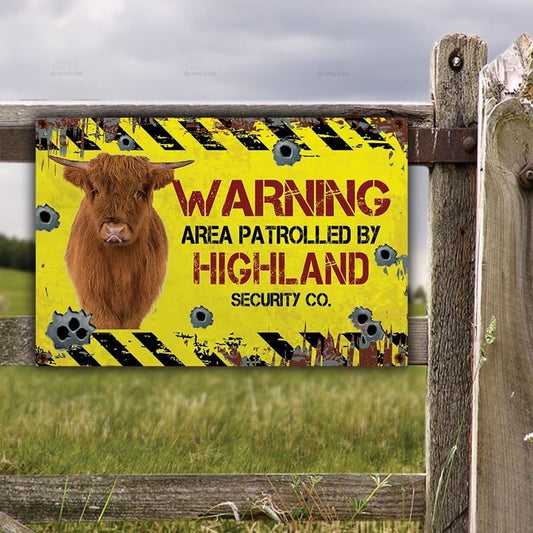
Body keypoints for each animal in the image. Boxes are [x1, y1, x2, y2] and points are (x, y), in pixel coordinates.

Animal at [50, 153, 193, 328]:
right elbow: (105, 320)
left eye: (138, 192)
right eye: (96, 190)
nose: (114, 230)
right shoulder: (91, 290)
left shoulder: (144, 292)